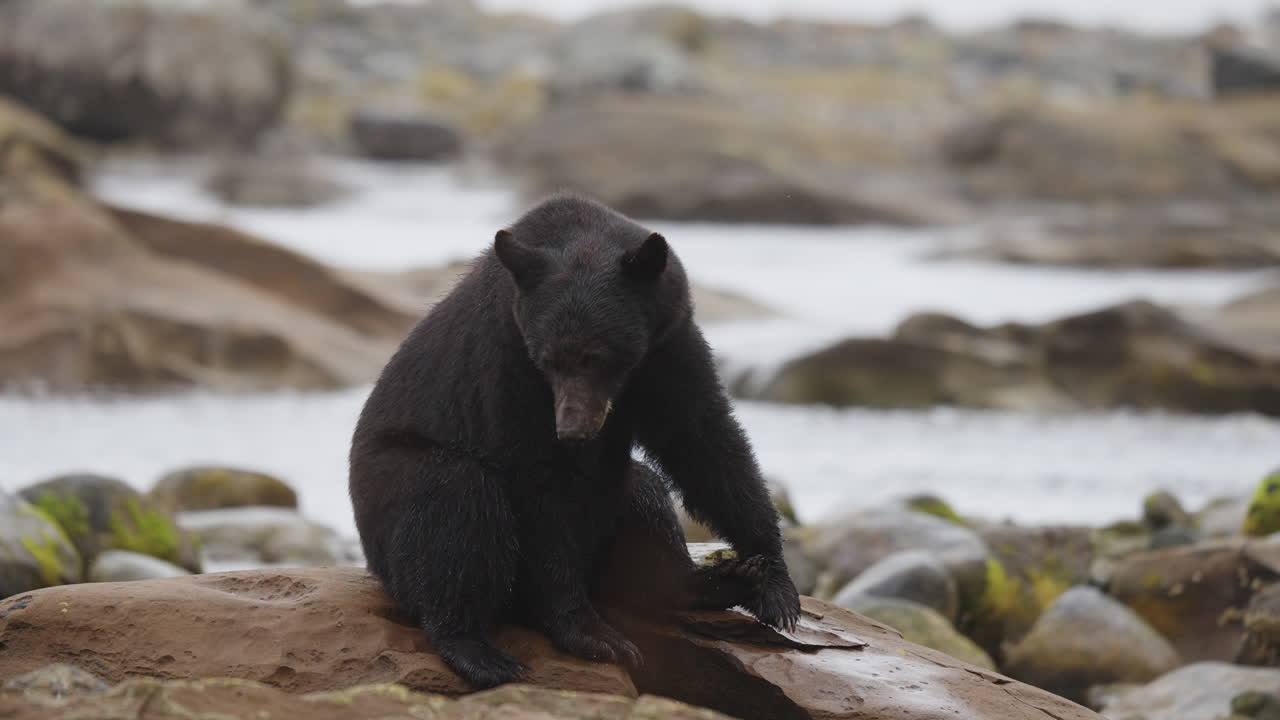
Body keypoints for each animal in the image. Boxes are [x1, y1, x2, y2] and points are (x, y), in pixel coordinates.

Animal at [349, 194, 800, 689]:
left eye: (598, 356)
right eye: (550, 359)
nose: (572, 429)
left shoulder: (669, 345)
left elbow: (704, 440)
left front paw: (775, 582)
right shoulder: (507, 367)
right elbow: (540, 491)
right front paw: (593, 635)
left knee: (644, 493)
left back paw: (721, 580)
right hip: (391, 492)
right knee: (454, 503)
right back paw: (478, 651)